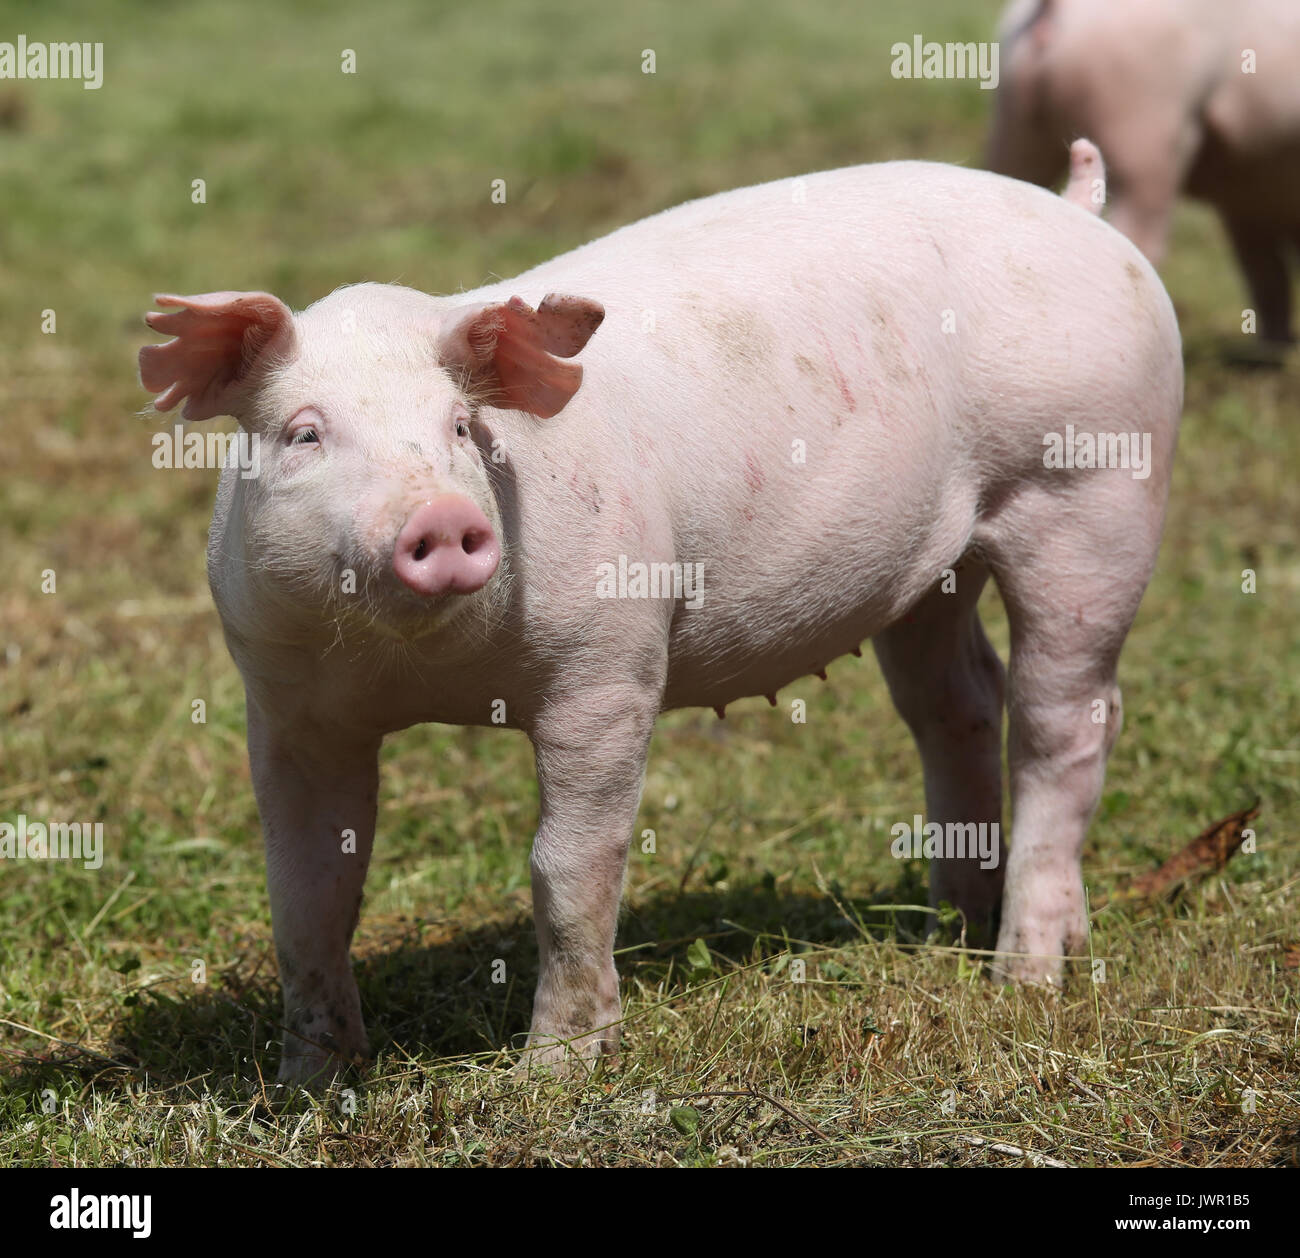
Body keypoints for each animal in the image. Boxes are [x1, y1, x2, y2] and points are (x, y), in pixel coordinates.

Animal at [137, 154, 1185, 1081]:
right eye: (304, 434)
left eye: (460, 429)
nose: (442, 517)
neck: (427, 675)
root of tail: (1079, 212)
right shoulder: (287, 704)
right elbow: (307, 890)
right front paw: (311, 1082)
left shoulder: (608, 671)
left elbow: (569, 866)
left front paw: (554, 1071)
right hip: (938, 565)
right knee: (960, 703)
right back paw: (950, 930)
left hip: (1091, 491)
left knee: (1064, 722)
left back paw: (1025, 979)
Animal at [982, 0, 1300, 343]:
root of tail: (1053, 9)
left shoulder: (1245, 208)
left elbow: (1266, 274)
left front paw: (1275, 343)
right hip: (1144, 128)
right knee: (1139, 230)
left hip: (1015, 123)